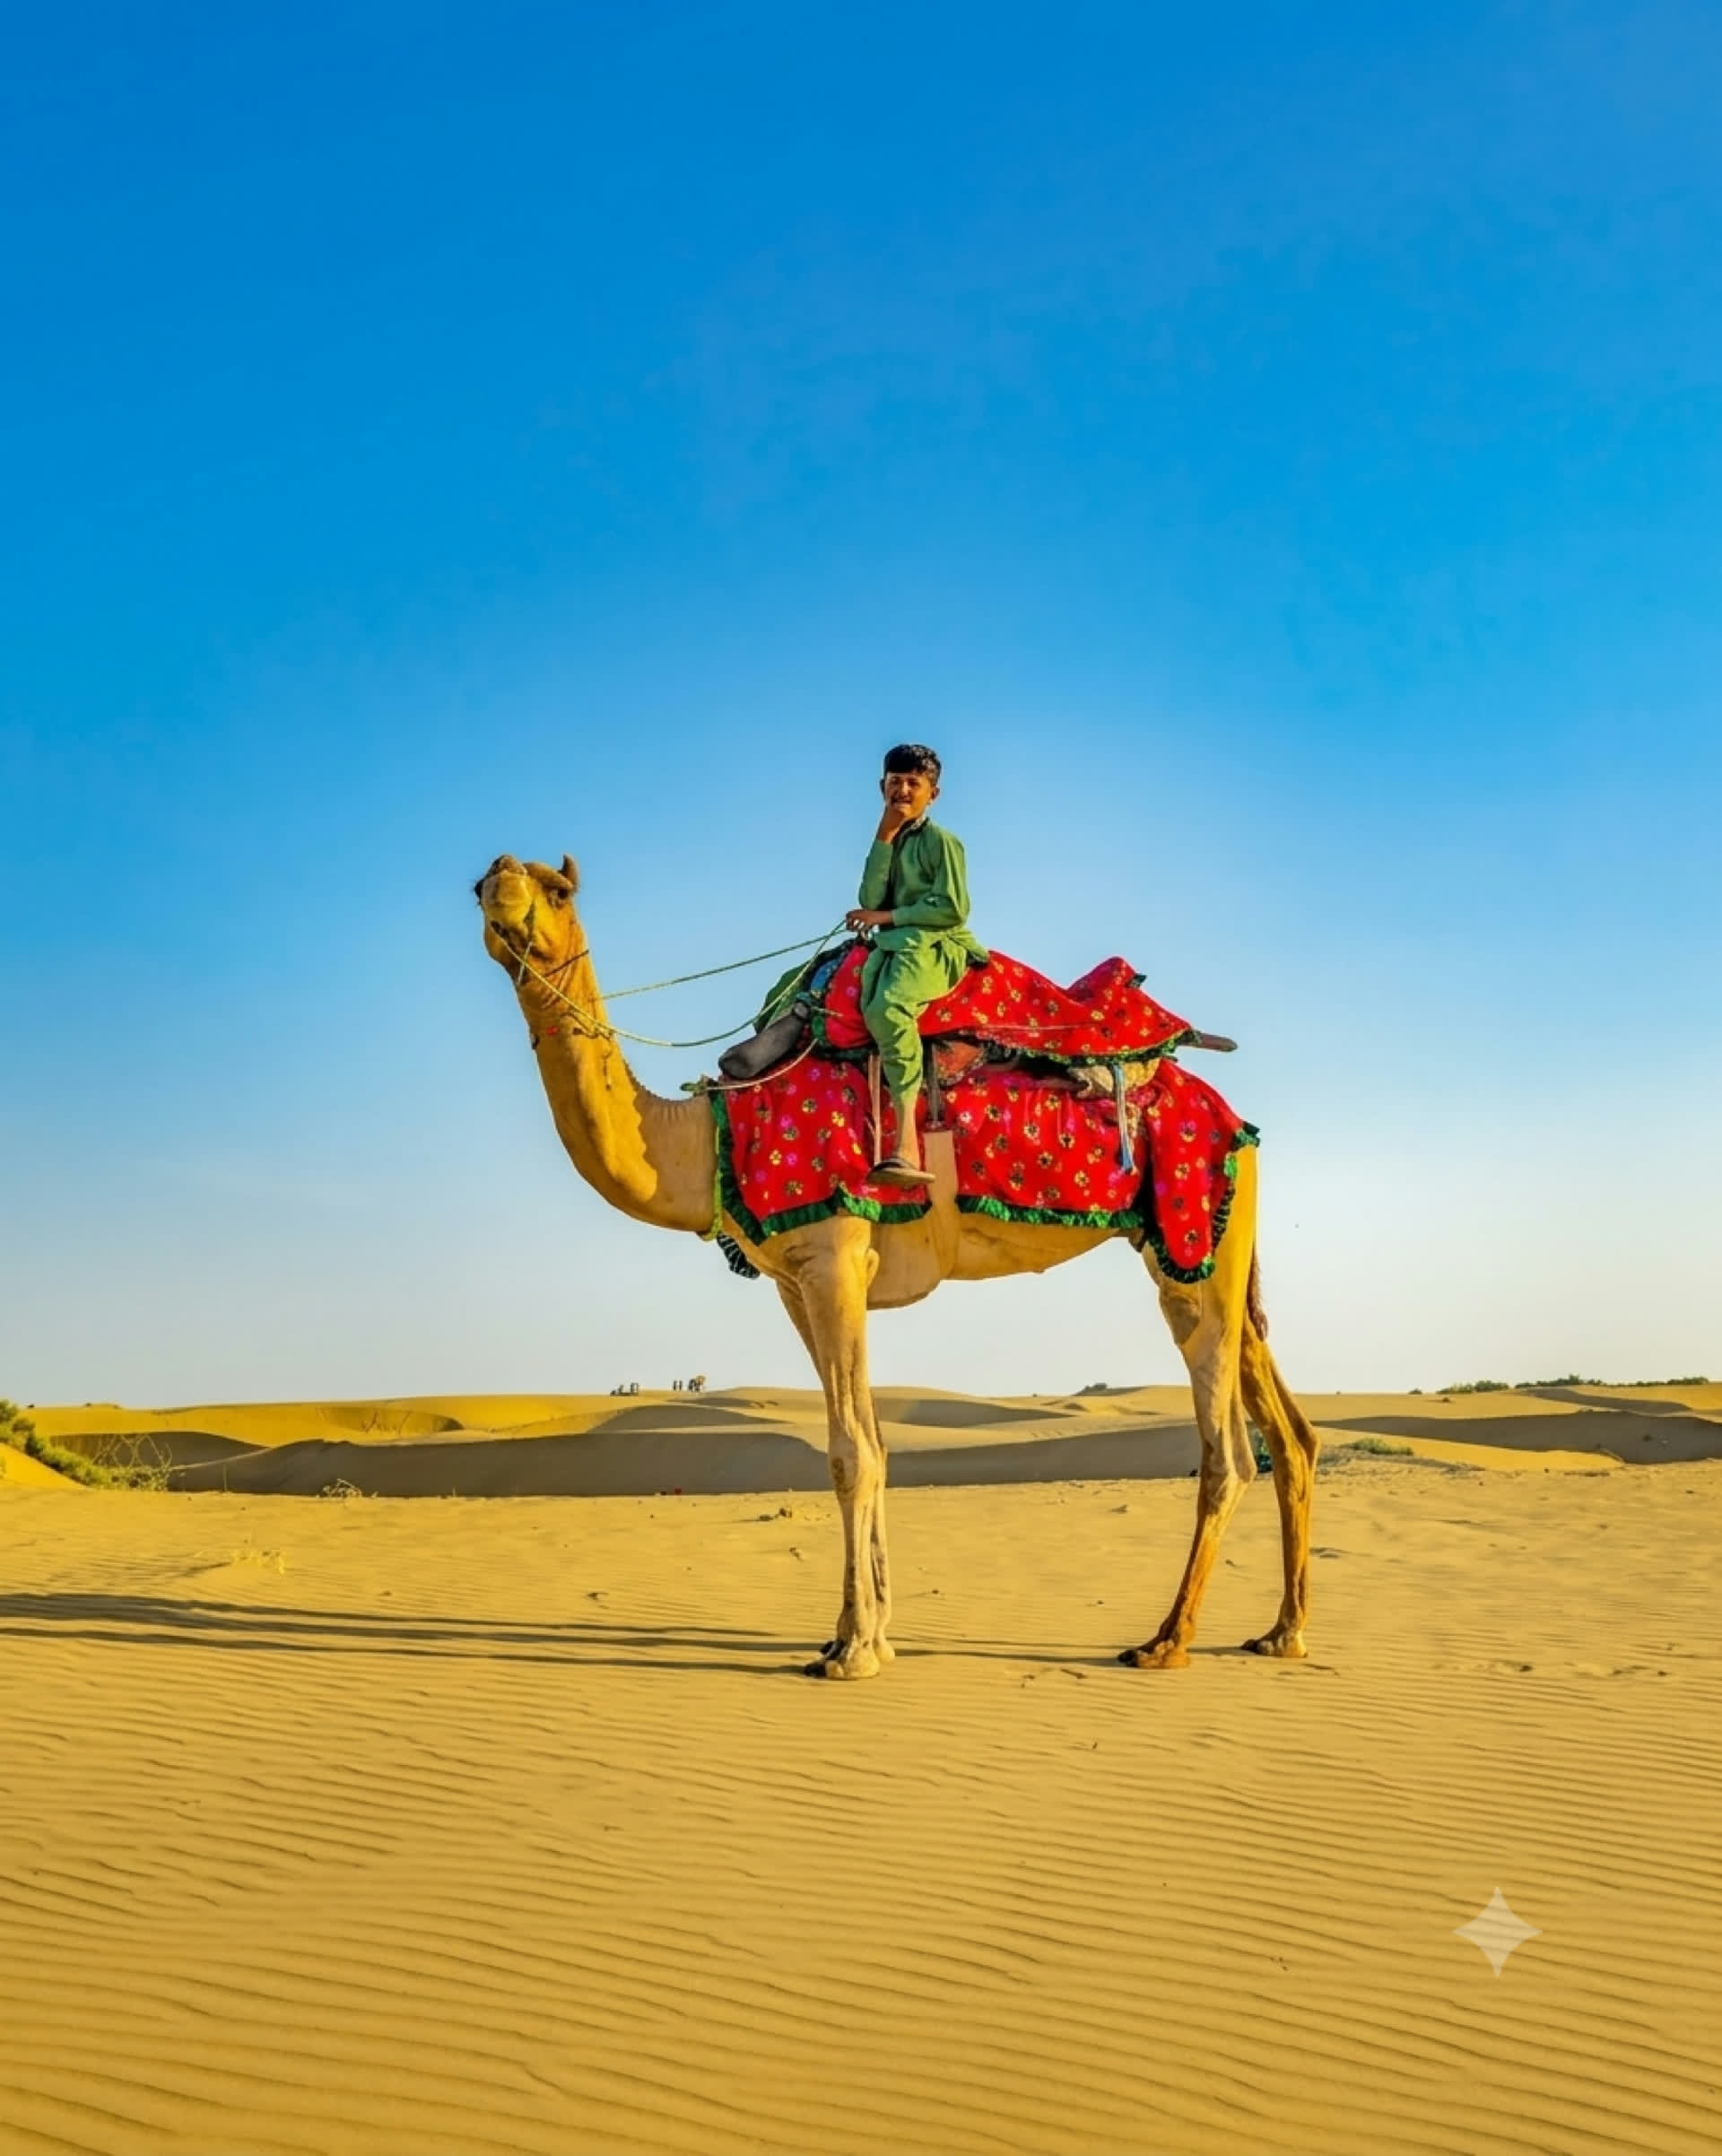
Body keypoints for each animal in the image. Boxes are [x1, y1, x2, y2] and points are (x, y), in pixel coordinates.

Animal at [477, 853, 1321, 1681]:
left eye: (558, 891)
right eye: (485, 883)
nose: (499, 885)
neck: (712, 1131)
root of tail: (1235, 1120)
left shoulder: (833, 1256)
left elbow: (850, 1450)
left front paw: (854, 1650)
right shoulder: (794, 1282)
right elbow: (874, 1441)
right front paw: (861, 1633)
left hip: (1188, 1229)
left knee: (1228, 1448)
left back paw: (1166, 1640)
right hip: (1209, 1245)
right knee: (1290, 1429)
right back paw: (1283, 1632)